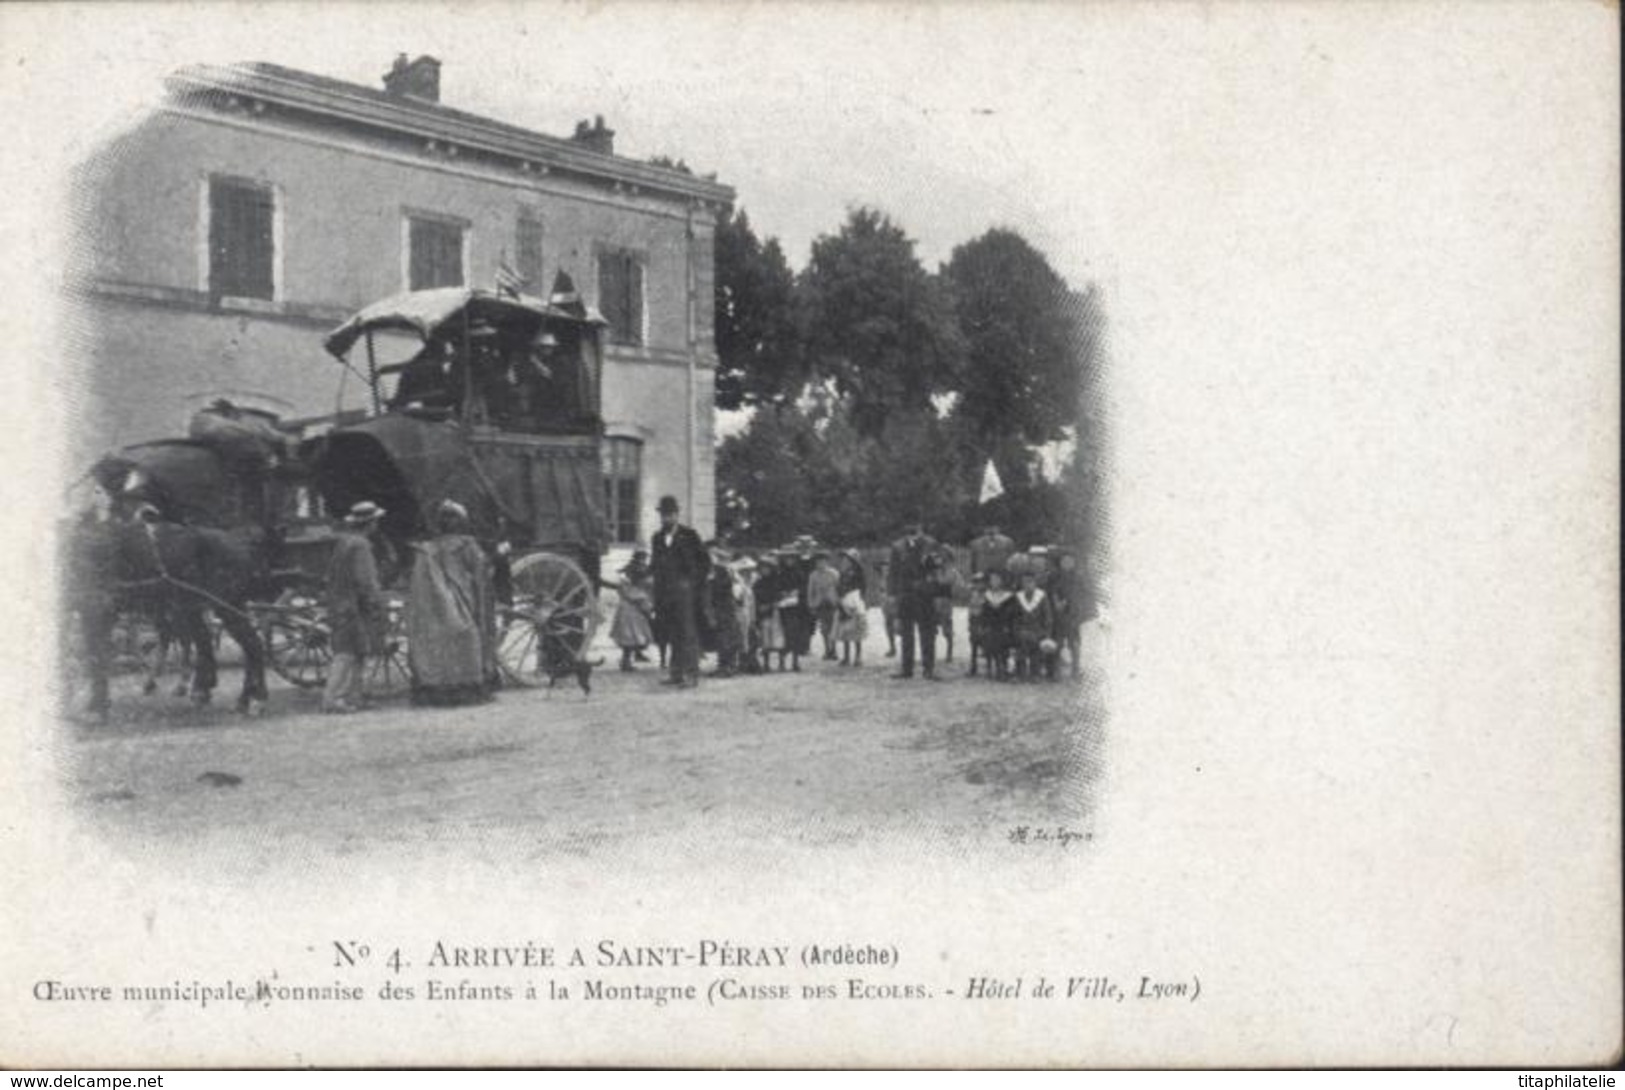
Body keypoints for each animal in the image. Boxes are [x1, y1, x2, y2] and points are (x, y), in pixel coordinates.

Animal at [64, 516, 269, 721]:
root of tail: (238, 544)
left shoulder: (98, 609)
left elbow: (96, 656)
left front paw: (97, 707)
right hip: (197, 608)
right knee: (219, 644)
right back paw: (235, 698)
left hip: (224, 607)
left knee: (252, 645)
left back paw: (255, 700)